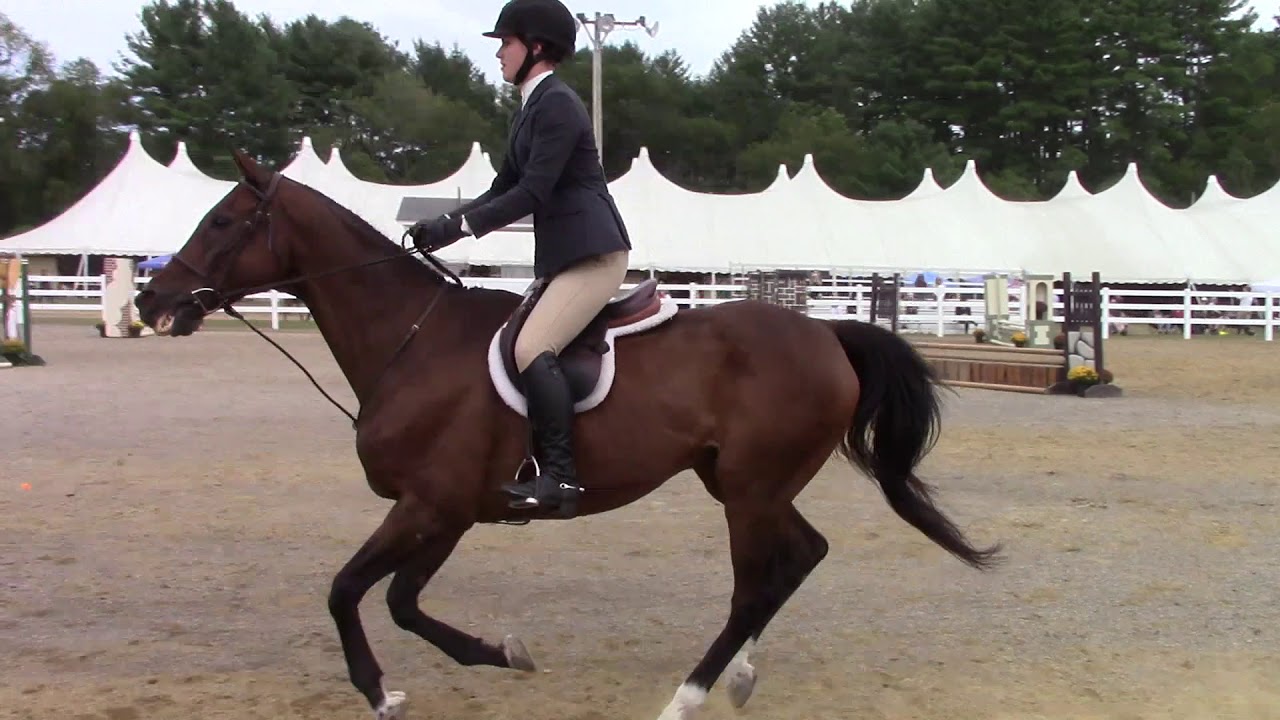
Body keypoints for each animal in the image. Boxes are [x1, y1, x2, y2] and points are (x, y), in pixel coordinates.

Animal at [134, 149, 1001, 720]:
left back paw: (688, 695)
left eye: (222, 221)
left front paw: (382, 693)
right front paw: (500, 653)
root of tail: (825, 332)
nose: (151, 299)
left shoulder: (428, 505)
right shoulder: (449, 510)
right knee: (801, 557)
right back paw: (740, 677)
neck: (412, 339)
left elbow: (348, 590)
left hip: (749, 490)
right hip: (739, 481)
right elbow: (405, 602)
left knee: (759, 581)